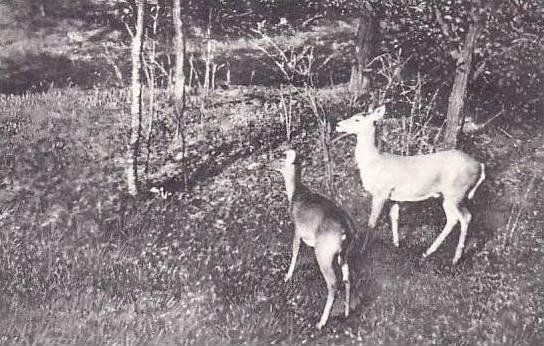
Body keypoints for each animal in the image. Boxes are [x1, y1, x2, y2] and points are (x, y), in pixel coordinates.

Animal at [336, 105, 484, 264]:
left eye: (357, 119)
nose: (338, 125)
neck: (374, 162)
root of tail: (480, 166)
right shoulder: (394, 197)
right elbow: (394, 218)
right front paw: (396, 244)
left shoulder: (381, 192)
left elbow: (371, 222)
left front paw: (362, 252)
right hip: (452, 196)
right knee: (459, 217)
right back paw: (428, 252)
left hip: (455, 193)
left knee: (462, 218)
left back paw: (455, 258)